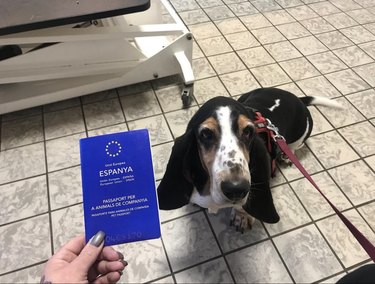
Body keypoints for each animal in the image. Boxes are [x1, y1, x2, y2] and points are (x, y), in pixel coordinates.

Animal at [157, 87, 342, 232]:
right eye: (206, 134)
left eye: (248, 132)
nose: (237, 189)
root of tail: (295, 97)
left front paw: (241, 216)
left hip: (302, 132)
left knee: (295, 146)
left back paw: (285, 155)